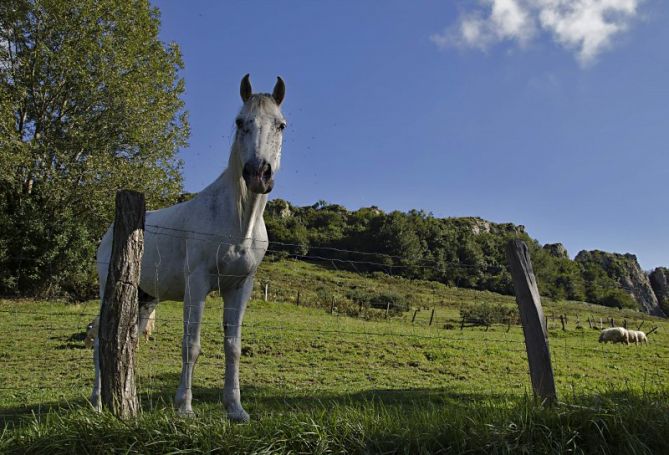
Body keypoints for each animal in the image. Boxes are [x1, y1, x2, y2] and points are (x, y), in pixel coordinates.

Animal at [91, 73, 284, 422]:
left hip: (144, 297)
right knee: (100, 341)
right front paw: (184, 407)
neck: (238, 222)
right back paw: (97, 401)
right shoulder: (197, 284)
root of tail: (109, 232)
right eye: (241, 122)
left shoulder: (240, 287)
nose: (258, 174)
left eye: (280, 125)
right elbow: (191, 344)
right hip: (106, 290)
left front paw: (235, 408)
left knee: (129, 341)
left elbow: (233, 346)